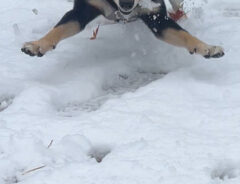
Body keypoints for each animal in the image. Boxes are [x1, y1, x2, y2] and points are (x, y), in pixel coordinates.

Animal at [21, 0, 225, 58]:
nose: (127, 3)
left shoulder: (157, 18)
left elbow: (184, 35)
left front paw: (206, 47)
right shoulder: (82, 11)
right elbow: (59, 29)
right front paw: (38, 44)